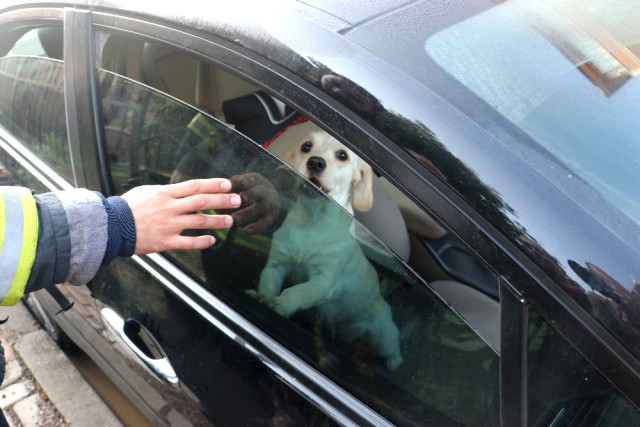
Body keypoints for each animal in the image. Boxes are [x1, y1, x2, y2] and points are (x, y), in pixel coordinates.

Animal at [249, 131, 402, 372]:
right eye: (306, 147)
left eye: (342, 155)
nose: (315, 162)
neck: (311, 223)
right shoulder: (276, 265)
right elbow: (268, 284)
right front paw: (264, 298)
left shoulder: (323, 281)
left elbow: (299, 291)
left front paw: (283, 304)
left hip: (384, 332)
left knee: (392, 351)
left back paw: (392, 364)